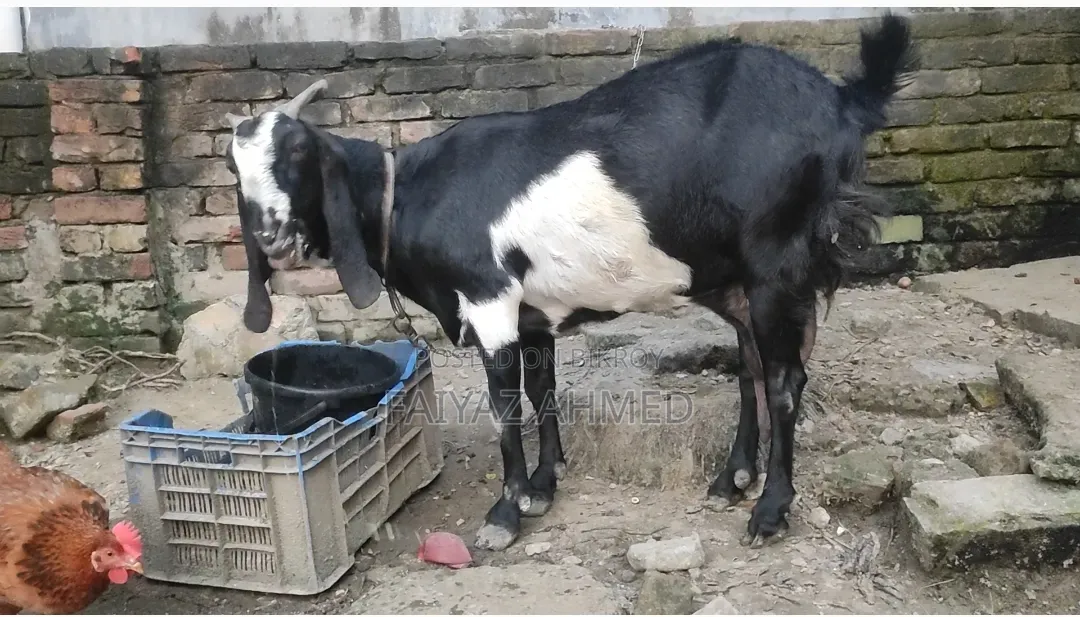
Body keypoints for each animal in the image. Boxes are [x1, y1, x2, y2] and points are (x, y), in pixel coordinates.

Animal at [224, 14, 915, 552]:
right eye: (235, 170)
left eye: (297, 154)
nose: (271, 237)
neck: (410, 194)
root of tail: (840, 101)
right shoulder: (534, 310)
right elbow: (543, 390)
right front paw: (544, 483)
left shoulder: (490, 298)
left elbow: (504, 406)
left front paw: (506, 513)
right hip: (736, 278)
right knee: (751, 363)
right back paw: (732, 479)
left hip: (777, 261)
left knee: (784, 380)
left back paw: (770, 510)